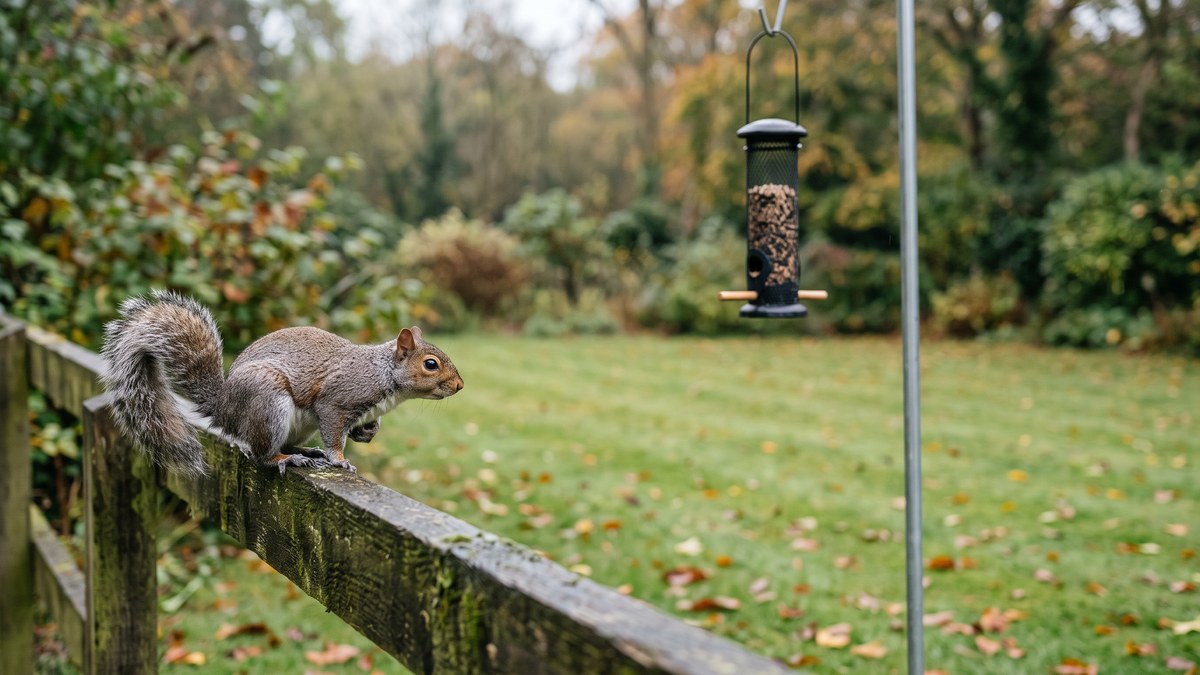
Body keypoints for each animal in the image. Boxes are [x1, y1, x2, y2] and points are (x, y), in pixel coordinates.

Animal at [100, 290, 464, 476]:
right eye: (431, 364)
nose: (459, 386)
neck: (384, 373)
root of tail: (225, 409)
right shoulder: (337, 400)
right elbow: (334, 432)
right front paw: (339, 459)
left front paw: (369, 431)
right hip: (267, 402)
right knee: (261, 453)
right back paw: (285, 459)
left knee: (286, 443)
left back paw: (305, 451)